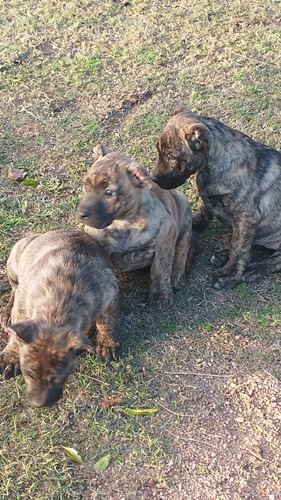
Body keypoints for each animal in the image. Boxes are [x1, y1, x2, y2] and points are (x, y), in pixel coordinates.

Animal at [0, 230, 118, 406]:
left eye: (59, 377)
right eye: (28, 373)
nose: (39, 404)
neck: (57, 309)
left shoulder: (110, 294)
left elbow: (106, 321)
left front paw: (107, 342)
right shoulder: (22, 302)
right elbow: (16, 332)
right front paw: (11, 357)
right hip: (17, 257)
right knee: (14, 288)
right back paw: (7, 312)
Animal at [76, 146, 195, 308]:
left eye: (109, 192)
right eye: (86, 186)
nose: (81, 214)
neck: (124, 223)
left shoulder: (164, 242)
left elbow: (160, 271)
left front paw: (161, 295)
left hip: (183, 212)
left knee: (182, 249)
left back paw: (177, 275)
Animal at [152, 107, 280, 292]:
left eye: (171, 157)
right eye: (158, 150)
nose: (153, 178)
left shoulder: (246, 218)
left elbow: (239, 248)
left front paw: (230, 275)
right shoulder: (210, 198)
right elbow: (205, 211)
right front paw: (193, 222)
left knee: (276, 260)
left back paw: (254, 269)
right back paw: (223, 255)